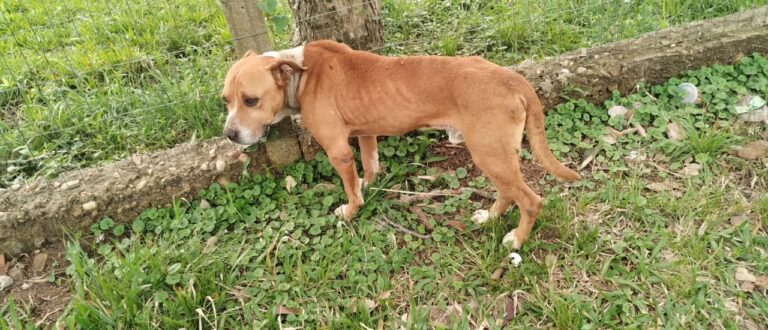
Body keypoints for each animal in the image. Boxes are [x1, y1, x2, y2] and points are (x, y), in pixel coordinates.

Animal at [219, 40, 580, 249]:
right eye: (226, 100)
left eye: (250, 100)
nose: (230, 135)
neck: (301, 74)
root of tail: (513, 78)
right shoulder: (365, 134)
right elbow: (370, 168)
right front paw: (367, 187)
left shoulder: (338, 151)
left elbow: (349, 189)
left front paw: (351, 211)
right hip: (496, 156)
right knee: (508, 192)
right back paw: (490, 217)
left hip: (489, 154)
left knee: (530, 200)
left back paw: (516, 240)